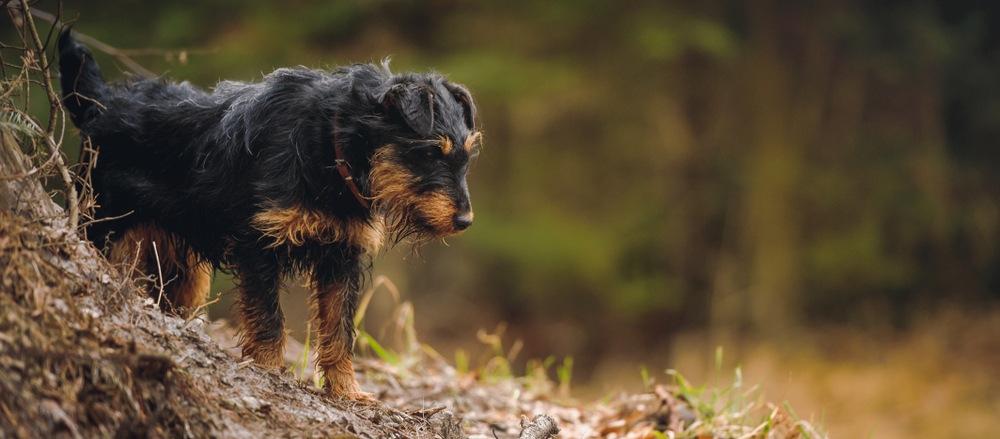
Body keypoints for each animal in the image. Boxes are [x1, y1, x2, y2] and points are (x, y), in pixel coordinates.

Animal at [58, 26, 480, 398]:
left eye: (466, 156)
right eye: (430, 152)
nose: (465, 222)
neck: (331, 147)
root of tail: (103, 103)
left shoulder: (341, 257)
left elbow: (338, 329)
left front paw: (347, 390)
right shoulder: (258, 245)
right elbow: (268, 318)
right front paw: (270, 371)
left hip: (180, 266)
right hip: (101, 225)